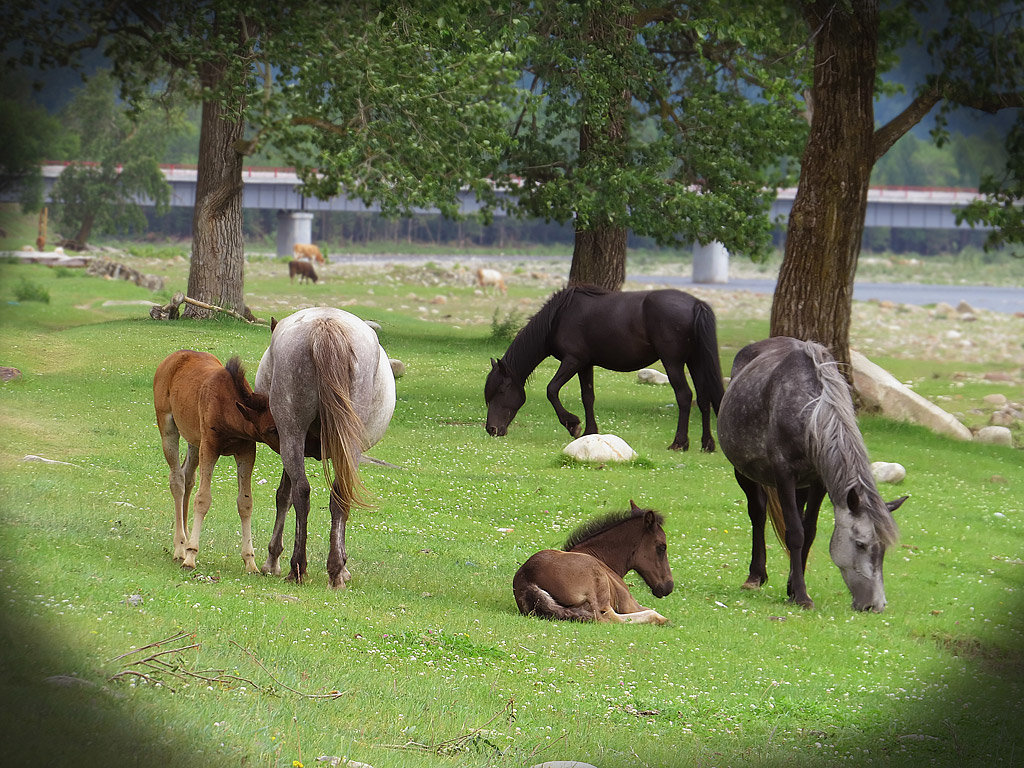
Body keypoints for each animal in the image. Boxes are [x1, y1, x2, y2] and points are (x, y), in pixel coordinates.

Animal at [152, 352, 280, 573]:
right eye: (271, 429)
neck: (229, 410)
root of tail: (170, 359)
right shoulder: (210, 447)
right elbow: (203, 499)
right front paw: (191, 555)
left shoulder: (246, 450)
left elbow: (245, 502)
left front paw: (250, 561)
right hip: (168, 427)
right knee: (177, 480)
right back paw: (180, 547)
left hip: (194, 440)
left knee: (188, 476)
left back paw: (185, 539)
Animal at [256, 307, 395, 589]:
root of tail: (325, 324)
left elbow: (283, 497)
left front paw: (272, 560)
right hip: (340, 443)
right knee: (336, 495)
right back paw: (333, 570)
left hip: (292, 435)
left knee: (302, 492)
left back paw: (299, 567)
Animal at [483, 286, 724, 454]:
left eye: (501, 391)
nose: (491, 429)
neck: (559, 316)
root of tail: (696, 304)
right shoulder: (585, 365)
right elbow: (587, 397)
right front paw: (590, 431)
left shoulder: (573, 361)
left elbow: (552, 390)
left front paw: (573, 424)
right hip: (695, 361)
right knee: (703, 399)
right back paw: (707, 444)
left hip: (673, 362)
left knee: (684, 396)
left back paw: (679, 443)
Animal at [716, 335, 909, 614]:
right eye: (860, 544)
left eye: (883, 548)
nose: (876, 605)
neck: (809, 415)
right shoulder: (784, 476)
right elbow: (795, 533)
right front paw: (802, 596)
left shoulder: (819, 482)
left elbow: (808, 532)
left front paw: (793, 589)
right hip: (744, 473)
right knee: (758, 513)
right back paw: (755, 576)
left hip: (801, 487)